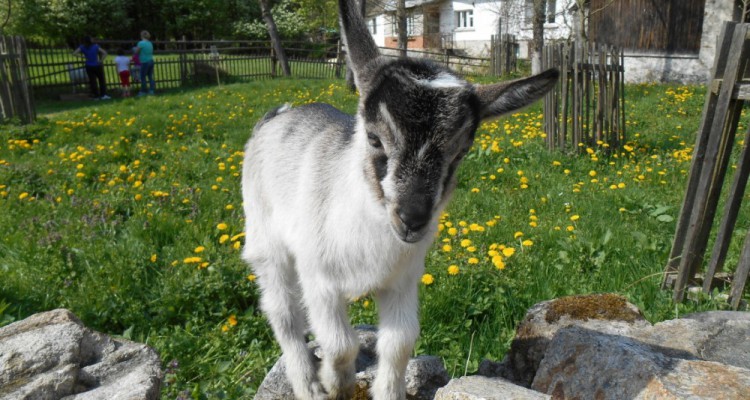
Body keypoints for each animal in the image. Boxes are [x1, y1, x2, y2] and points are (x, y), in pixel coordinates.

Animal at [241, 1, 560, 398]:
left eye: (461, 151)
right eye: (374, 138)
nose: (412, 219)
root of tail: (277, 116)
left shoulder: (403, 282)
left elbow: (399, 343)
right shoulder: (318, 277)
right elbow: (340, 342)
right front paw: (335, 382)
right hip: (266, 242)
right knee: (283, 314)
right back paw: (308, 384)